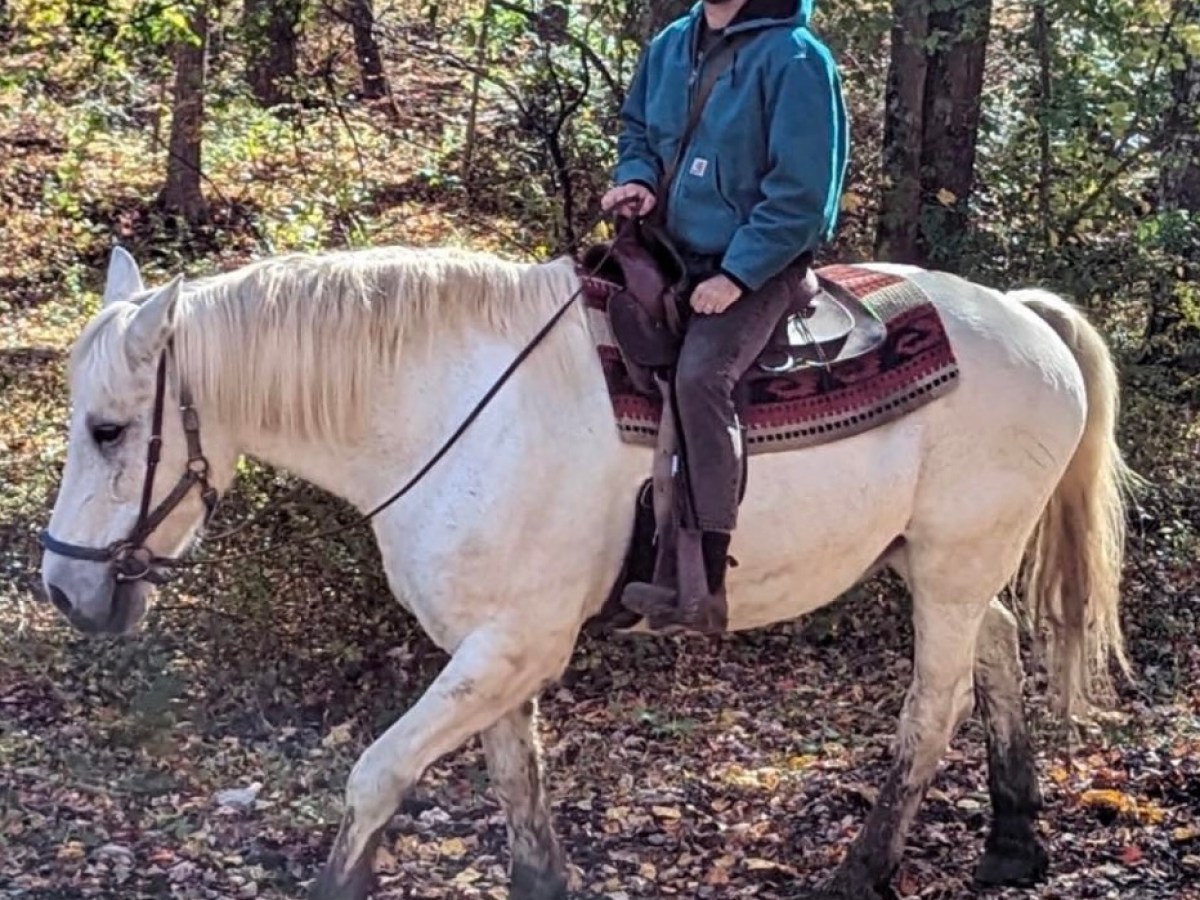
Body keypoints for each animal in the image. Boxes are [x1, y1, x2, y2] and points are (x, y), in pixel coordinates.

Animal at [39, 244, 1131, 900]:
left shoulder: (515, 645)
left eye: (107, 430)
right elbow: (515, 779)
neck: (447, 407)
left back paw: (865, 868)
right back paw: (1013, 839)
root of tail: (1023, 318)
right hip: (940, 563)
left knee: (932, 708)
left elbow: (377, 773)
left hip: (952, 562)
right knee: (996, 648)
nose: (61, 588)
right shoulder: (491, 648)